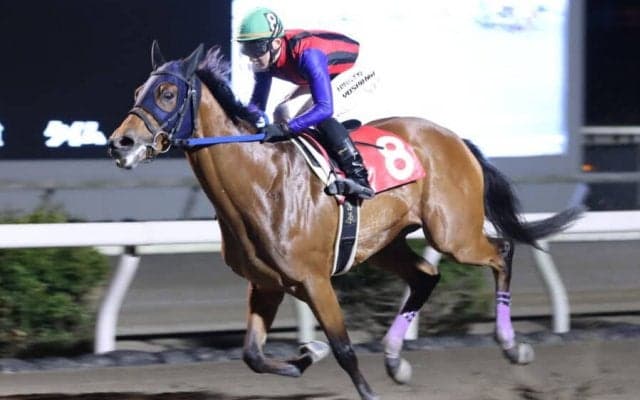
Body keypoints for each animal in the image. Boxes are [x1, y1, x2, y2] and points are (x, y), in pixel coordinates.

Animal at [107, 42, 583, 400]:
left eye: (167, 94)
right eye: (138, 89)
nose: (120, 143)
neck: (262, 184)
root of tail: (454, 139)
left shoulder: (315, 280)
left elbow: (344, 349)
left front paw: (350, 377)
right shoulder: (266, 283)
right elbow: (254, 356)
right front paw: (307, 354)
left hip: (453, 234)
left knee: (501, 251)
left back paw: (512, 346)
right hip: (386, 243)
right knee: (426, 276)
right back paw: (395, 359)